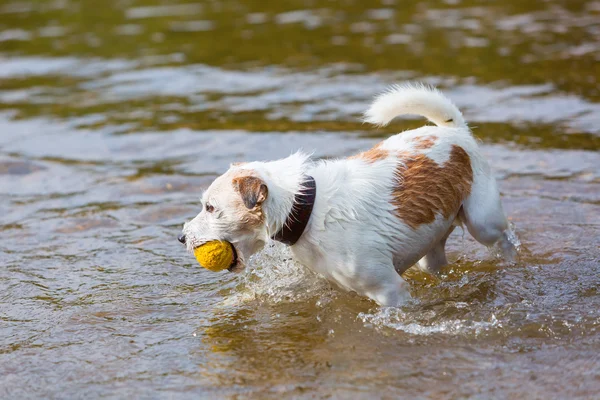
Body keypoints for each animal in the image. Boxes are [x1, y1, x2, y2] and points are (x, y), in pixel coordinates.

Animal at [178, 84, 516, 306]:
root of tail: (455, 132)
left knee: (502, 238)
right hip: (431, 248)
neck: (306, 209)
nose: (181, 238)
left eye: (211, 208)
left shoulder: (390, 291)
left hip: (482, 222)